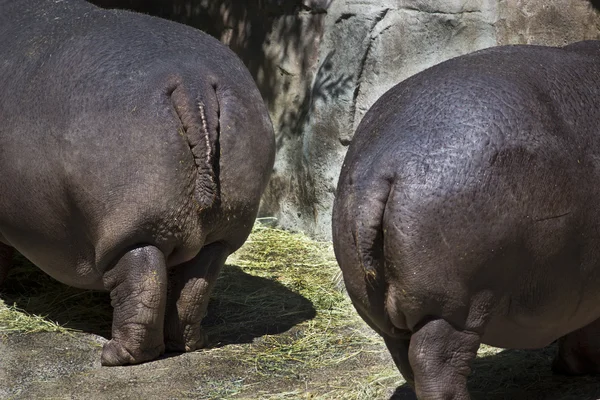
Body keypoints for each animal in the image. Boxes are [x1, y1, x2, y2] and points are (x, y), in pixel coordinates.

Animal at [0, 0, 276, 366]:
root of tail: (193, 82)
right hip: (222, 228)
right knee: (195, 282)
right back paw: (188, 343)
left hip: (129, 224)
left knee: (140, 276)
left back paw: (115, 355)